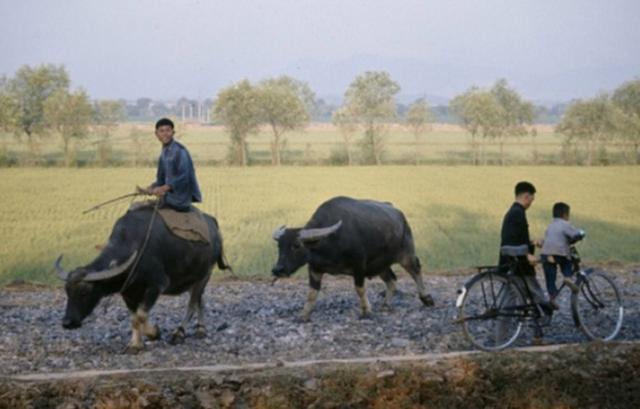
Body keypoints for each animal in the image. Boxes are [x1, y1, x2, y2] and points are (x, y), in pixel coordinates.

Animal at [55, 206, 230, 352]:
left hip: (205, 274)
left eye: (84, 293)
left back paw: (178, 333)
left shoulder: (156, 286)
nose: (67, 323)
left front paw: (155, 333)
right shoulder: (128, 293)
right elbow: (134, 318)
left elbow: (141, 315)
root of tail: (212, 223)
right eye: (67, 292)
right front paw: (135, 344)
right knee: (200, 300)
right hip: (192, 279)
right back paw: (201, 329)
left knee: (192, 304)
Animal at [270, 196, 436, 320]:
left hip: (406, 254)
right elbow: (311, 294)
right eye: (279, 246)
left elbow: (359, 289)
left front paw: (366, 311)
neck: (330, 242)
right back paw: (385, 304)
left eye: (296, 245)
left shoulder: (359, 266)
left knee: (415, 270)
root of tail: (400, 215)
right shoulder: (315, 269)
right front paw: (304, 315)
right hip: (380, 265)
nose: (277, 269)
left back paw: (426, 298)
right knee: (391, 280)